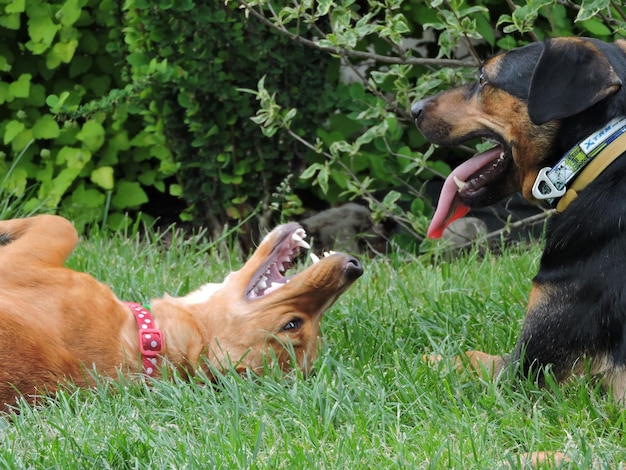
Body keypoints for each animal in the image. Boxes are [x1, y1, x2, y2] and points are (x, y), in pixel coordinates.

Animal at [412, 36, 624, 404]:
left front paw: (424, 358)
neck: (595, 153)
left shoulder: (530, 372)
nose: (413, 109)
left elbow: (470, 357)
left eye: (483, 79)